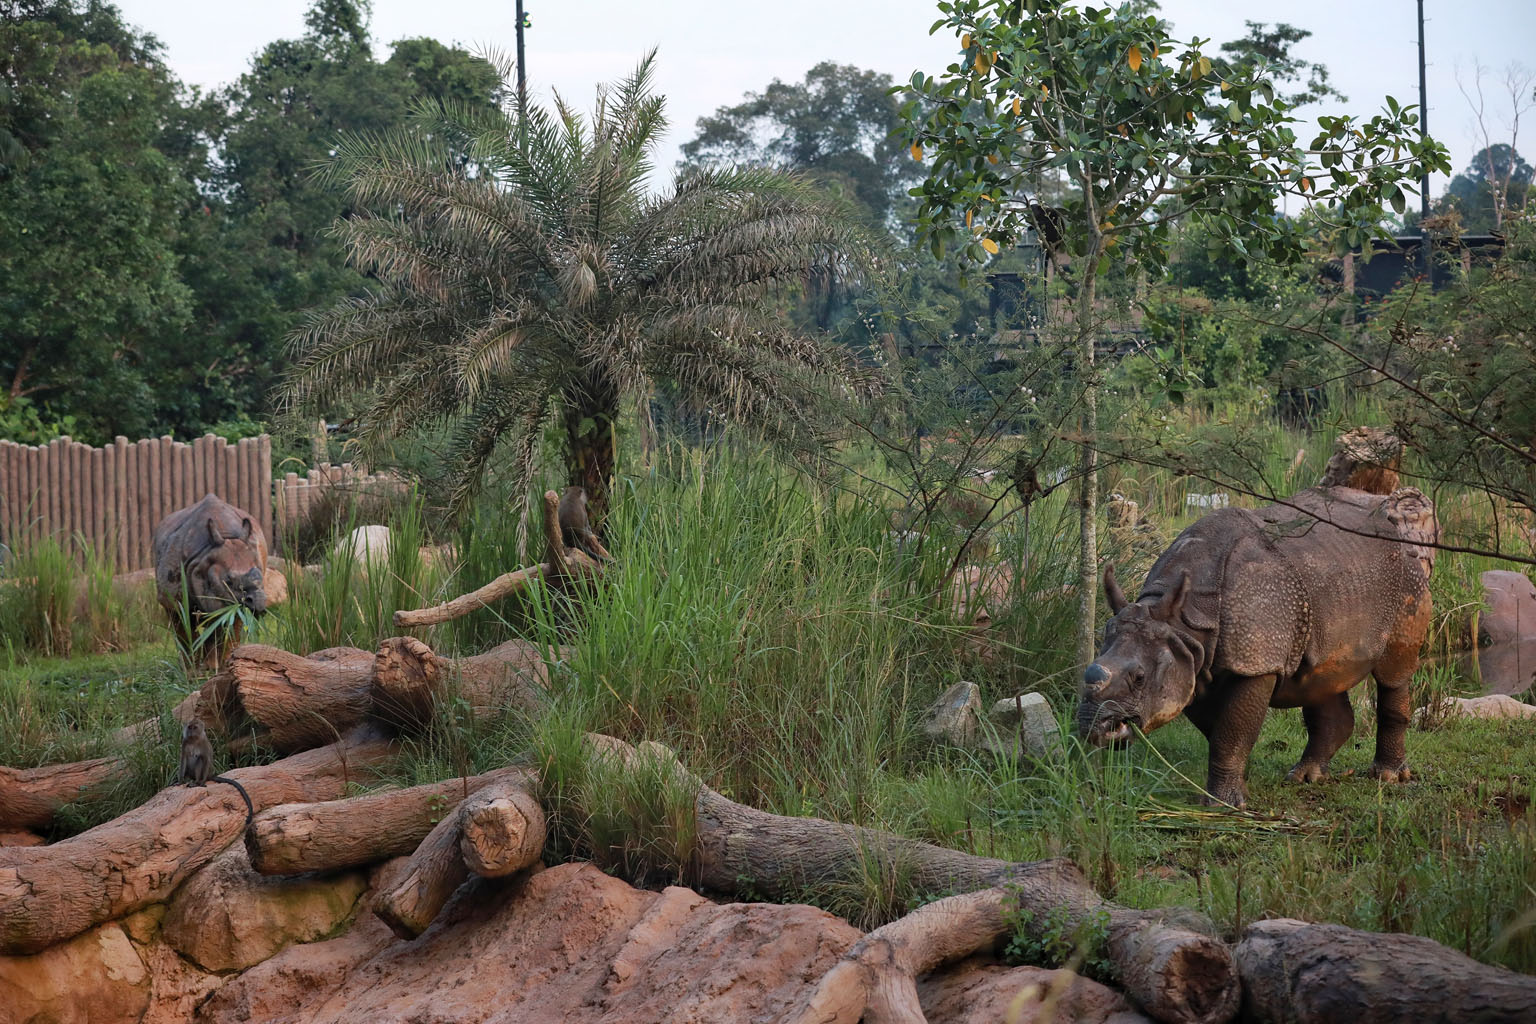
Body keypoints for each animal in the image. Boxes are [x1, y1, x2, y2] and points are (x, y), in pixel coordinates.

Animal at [152, 493, 269, 660]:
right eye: (228, 581)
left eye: (260, 574)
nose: (258, 601)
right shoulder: (174, 600)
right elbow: (185, 635)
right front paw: (193, 667)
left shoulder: (230, 603)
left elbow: (226, 631)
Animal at [1078, 485, 1436, 809]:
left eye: (1139, 678)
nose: (1093, 728)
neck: (1184, 619)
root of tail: (1389, 524)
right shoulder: (1192, 659)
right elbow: (1219, 729)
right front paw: (1240, 784)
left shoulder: (1255, 662)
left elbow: (1231, 730)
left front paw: (1222, 805)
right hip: (1339, 576)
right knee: (1320, 676)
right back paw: (1306, 777)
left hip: (1407, 577)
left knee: (1394, 672)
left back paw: (1388, 777)